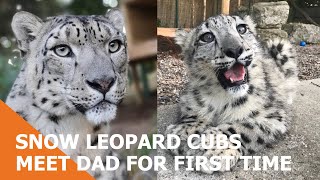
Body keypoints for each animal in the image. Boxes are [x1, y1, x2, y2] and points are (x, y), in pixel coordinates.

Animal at [166, 14, 298, 173]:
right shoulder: (188, 100)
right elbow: (192, 114)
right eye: (207, 37)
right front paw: (182, 131)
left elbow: (242, 127)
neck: (221, 97)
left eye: (241, 28)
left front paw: (212, 149)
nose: (235, 49)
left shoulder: (273, 115)